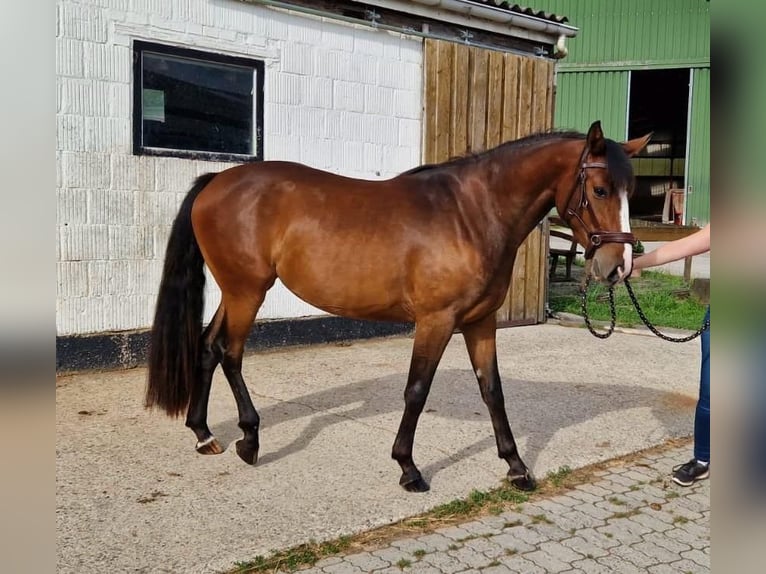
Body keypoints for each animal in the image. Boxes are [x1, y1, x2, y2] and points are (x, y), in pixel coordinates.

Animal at [144, 119, 648, 492]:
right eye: (600, 190)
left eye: (631, 191)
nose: (618, 267)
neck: (472, 214)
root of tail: (217, 181)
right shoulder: (435, 322)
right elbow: (417, 390)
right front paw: (408, 468)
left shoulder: (480, 322)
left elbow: (492, 390)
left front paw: (516, 466)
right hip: (248, 291)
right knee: (230, 353)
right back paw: (249, 439)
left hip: (236, 292)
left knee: (207, 347)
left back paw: (204, 434)